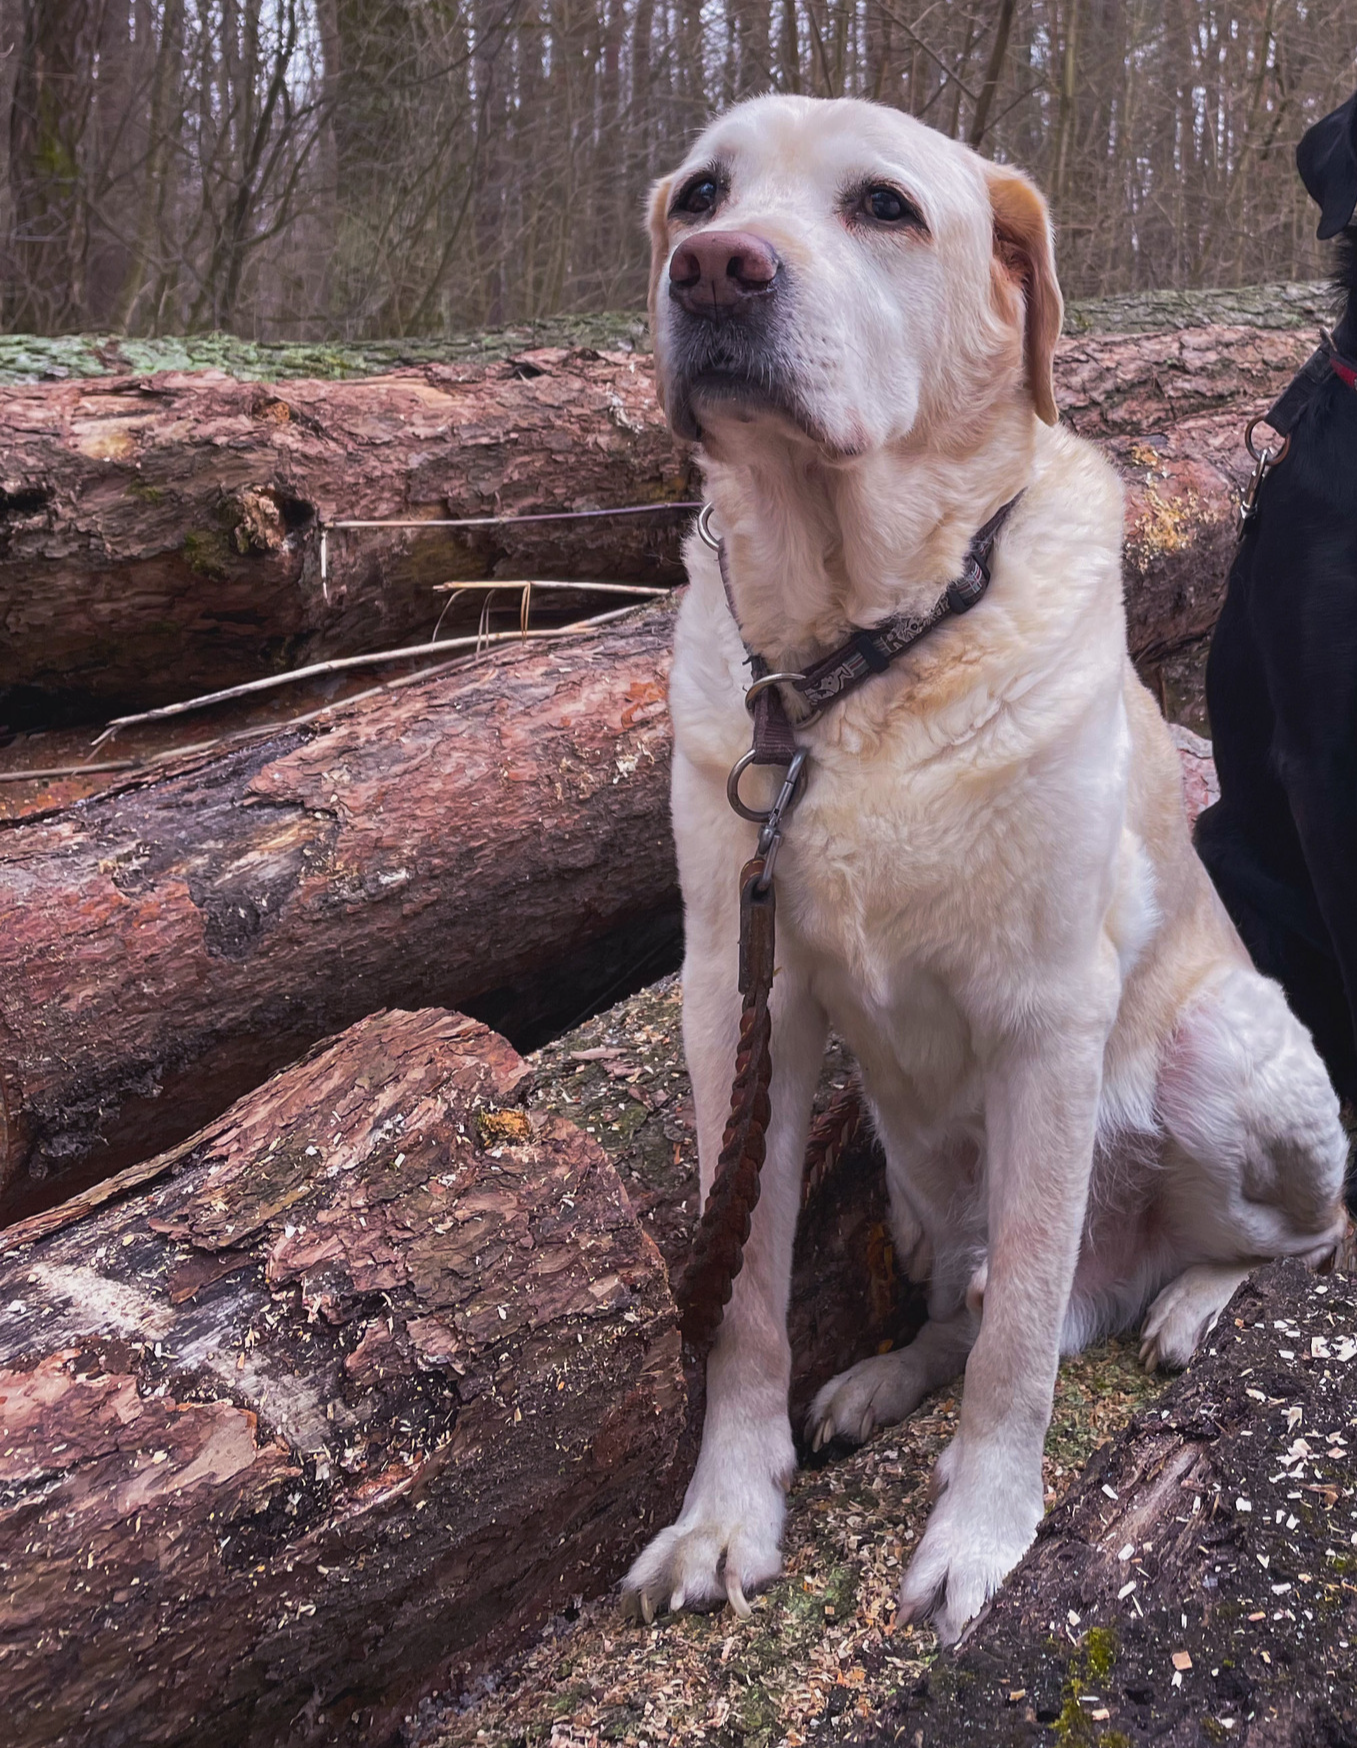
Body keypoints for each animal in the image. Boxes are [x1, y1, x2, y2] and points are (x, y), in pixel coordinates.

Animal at [626, 95, 1343, 1643]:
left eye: (884, 207)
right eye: (700, 195)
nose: (713, 270)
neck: (858, 651)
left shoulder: (1047, 1015)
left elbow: (1018, 1335)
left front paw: (985, 1535)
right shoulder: (737, 998)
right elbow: (748, 1297)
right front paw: (724, 1516)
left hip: (1216, 1059)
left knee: (1285, 1240)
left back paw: (1189, 1300)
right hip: (916, 1173)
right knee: (966, 1302)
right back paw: (887, 1374)